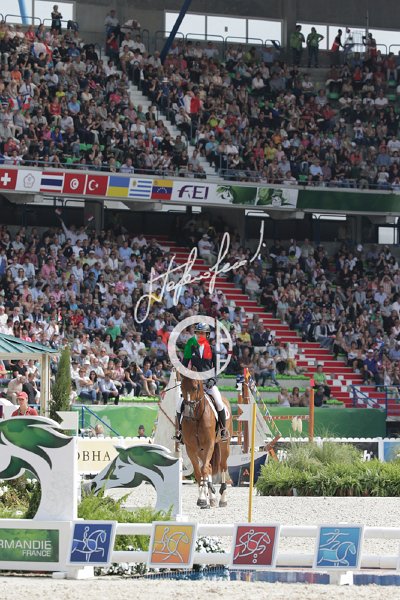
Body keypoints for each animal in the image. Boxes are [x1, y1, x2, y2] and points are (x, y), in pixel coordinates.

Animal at [179, 373, 232, 509]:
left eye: (195, 387)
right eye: (181, 387)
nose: (188, 412)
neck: (197, 417)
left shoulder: (209, 445)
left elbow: (203, 470)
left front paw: (203, 498)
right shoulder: (191, 448)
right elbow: (199, 472)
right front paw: (203, 498)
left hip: (224, 445)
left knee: (222, 466)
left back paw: (222, 499)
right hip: (200, 450)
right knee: (208, 466)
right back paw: (212, 497)